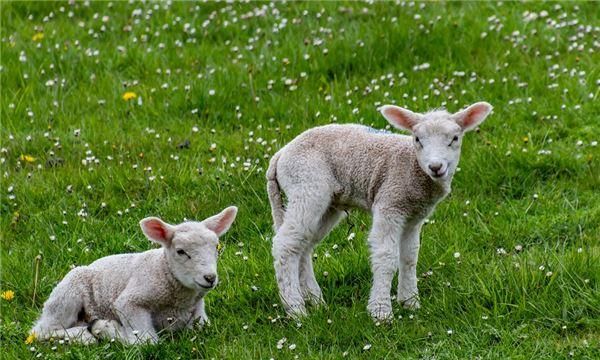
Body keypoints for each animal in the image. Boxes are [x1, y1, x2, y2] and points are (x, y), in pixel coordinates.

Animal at [29, 205, 237, 344]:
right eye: (180, 251)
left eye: (216, 246)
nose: (210, 278)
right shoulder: (129, 302)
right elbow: (147, 341)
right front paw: (107, 329)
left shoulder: (198, 315)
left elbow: (202, 327)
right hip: (68, 294)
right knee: (42, 330)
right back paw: (86, 336)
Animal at [268, 102, 492, 320]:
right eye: (417, 139)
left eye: (455, 138)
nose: (436, 167)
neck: (412, 166)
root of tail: (280, 155)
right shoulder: (389, 204)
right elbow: (386, 257)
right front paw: (381, 312)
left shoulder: (414, 217)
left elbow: (409, 257)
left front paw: (410, 303)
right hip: (306, 186)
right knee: (286, 245)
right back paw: (296, 310)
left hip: (327, 204)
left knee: (303, 246)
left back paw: (316, 301)